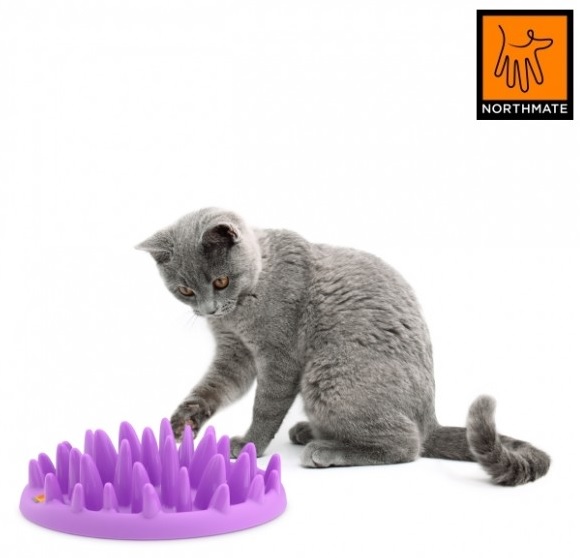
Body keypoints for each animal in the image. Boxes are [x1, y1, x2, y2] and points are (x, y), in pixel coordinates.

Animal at [137, 207, 550, 486]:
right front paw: (182, 422)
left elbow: (265, 407)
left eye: (220, 281)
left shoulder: (279, 356)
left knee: (408, 445)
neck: (238, 312)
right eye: (185, 290)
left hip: (330, 374)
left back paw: (326, 450)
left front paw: (250, 446)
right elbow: (214, 388)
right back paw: (311, 431)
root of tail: (429, 418)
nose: (207, 309)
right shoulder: (234, 353)